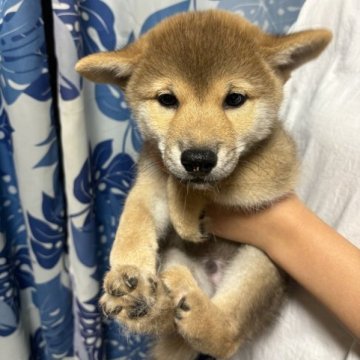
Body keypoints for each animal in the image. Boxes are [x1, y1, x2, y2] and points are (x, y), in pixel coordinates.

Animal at [76, 9, 332, 358]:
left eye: (235, 98)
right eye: (167, 99)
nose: (198, 159)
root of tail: (210, 281)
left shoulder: (275, 165)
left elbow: (217, 180)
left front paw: (186, 210)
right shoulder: (148, 182)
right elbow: (135, 219)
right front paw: (129, 268)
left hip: (260, 261)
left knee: (227, 335)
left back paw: (198, 312)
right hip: (174, 257)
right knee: (171, 322)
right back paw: (149, 305)